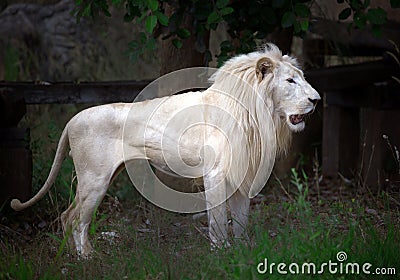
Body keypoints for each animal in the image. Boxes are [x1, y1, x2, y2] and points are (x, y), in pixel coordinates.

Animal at [10, 44, 320, 258]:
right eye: (290, 81)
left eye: (301, 78)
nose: (316, 99)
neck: (257, 115)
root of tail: (72, 120)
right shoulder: (216, 175)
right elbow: (219, 221)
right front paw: (220, 254)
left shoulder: (241, 176)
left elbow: (241, 221)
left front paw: (243, 254)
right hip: (94, 179)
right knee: (74, 217)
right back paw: (86, 258)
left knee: (68, 216)